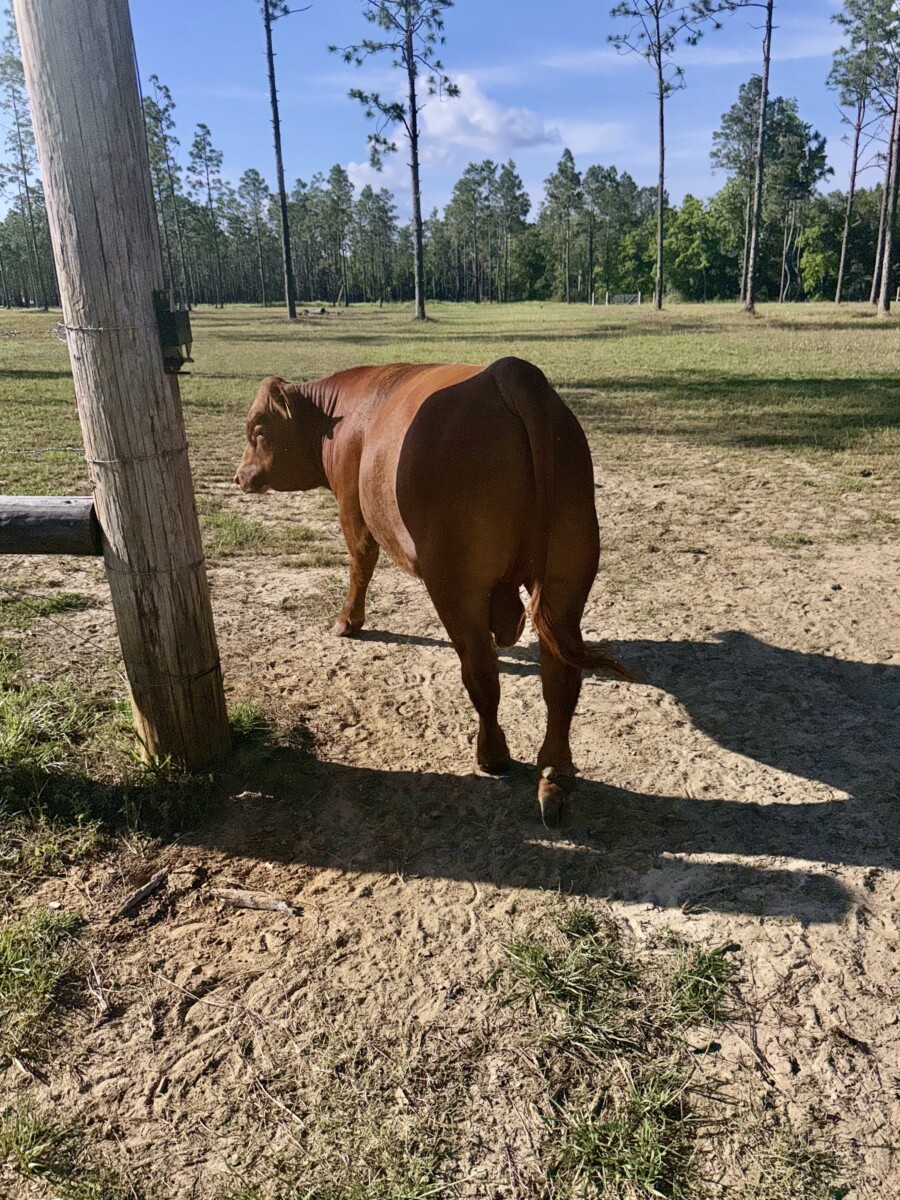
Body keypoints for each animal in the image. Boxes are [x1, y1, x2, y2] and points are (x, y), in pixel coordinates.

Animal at [234, 357, 630, 828]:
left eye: (258, 429)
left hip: (456, 587)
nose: (239, 476)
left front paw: (347, 621)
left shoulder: (352, 508)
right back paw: (554, 779)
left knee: (481, 673)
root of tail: (507, 371)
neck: (341, 414)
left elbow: (360, 563)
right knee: (561, 681)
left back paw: (491, 755)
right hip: (565, 580)